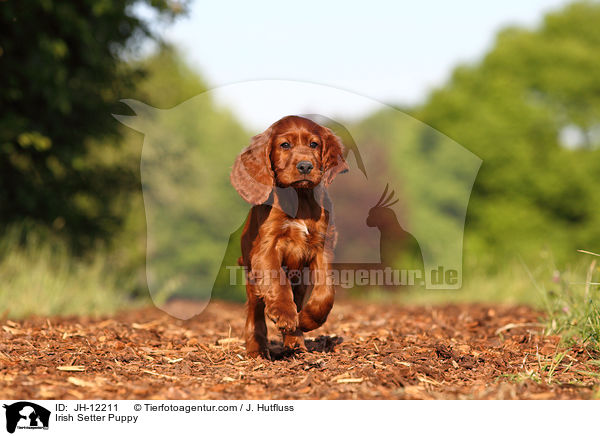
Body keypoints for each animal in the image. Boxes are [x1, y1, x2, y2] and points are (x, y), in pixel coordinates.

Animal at [232, 116, 350, 358]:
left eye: (314, 144)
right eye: (285, 145)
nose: (305, 166)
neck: (300, 197)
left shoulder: (321, 248)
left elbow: (326, 292)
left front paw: (306, 320)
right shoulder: (266, 249)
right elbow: (277, 280)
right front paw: (284, 314)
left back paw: (296, 342)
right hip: (252, 277)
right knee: (255, 313)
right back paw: (257, 348)